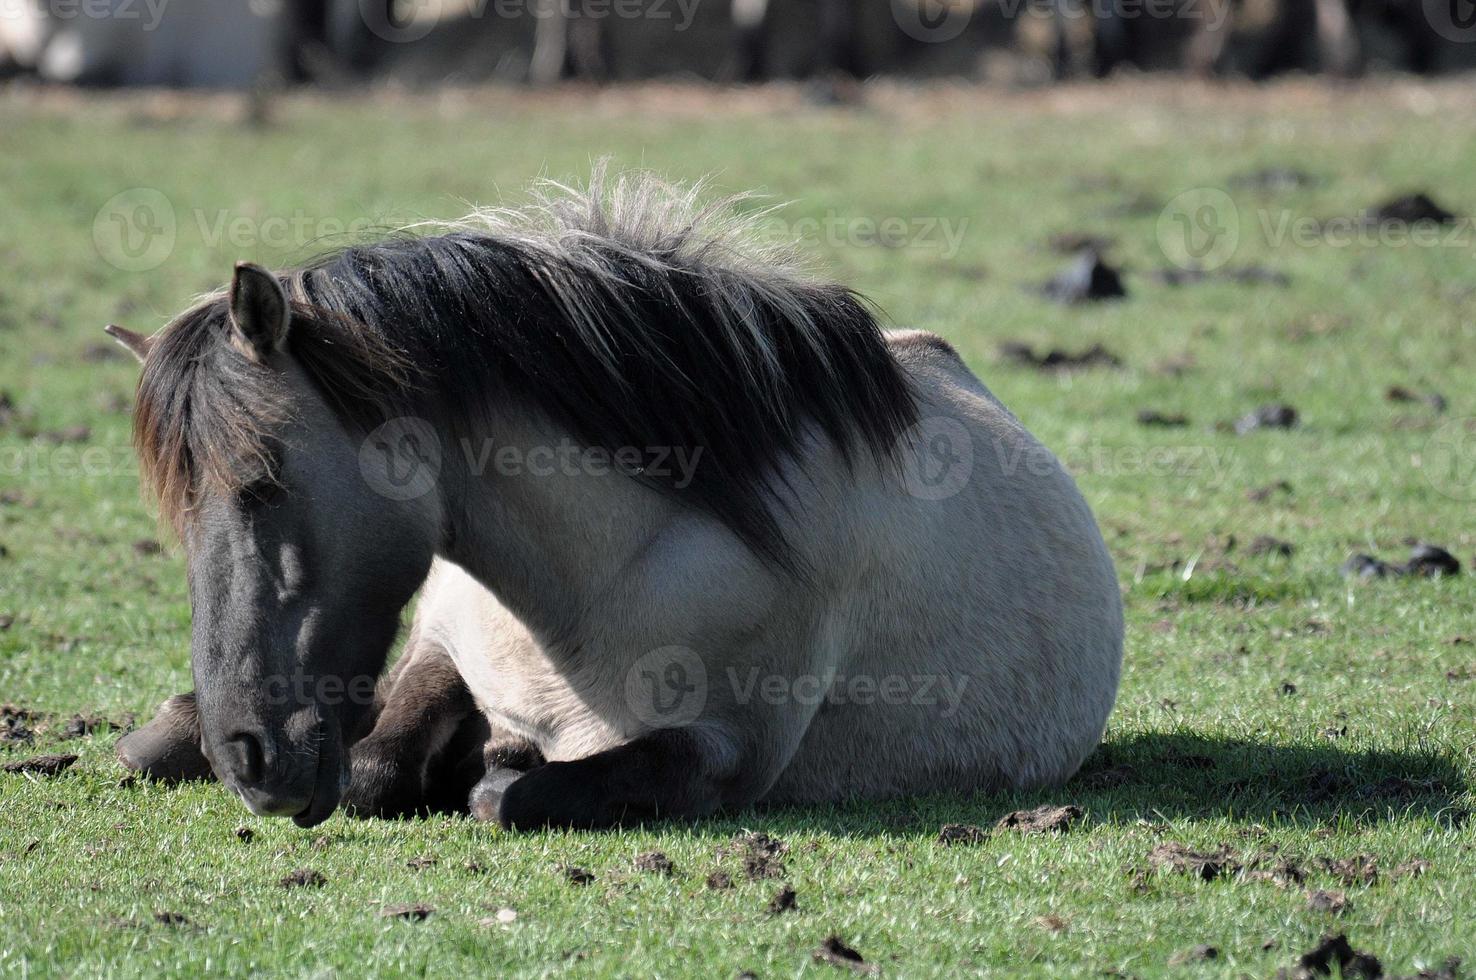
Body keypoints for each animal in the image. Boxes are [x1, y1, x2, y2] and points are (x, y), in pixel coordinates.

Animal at [107, 170, 1115, 826]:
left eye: (263, 481)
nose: (250, 757)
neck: (594, 580)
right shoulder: (438, 646)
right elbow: (376, 763)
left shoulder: (722, 752)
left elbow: (504, 796)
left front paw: (494, 766)